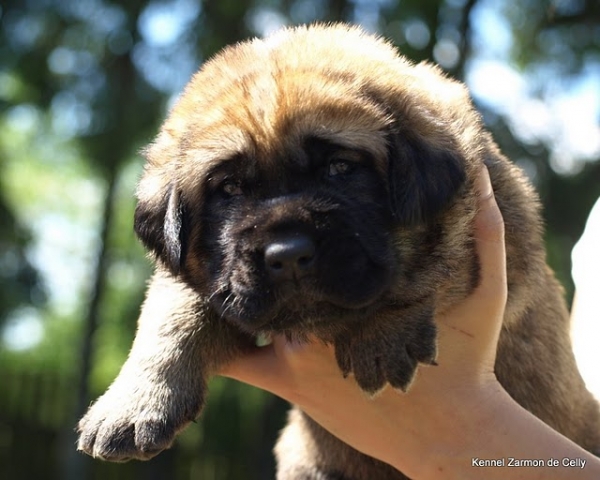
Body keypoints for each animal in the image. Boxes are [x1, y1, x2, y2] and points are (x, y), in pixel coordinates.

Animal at [78, 24, 600, 478]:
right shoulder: (205, 279)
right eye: (228, 188)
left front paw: (381, 335)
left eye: (340, 167)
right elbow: (172, 311)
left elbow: (434, 263)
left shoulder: (497, 223)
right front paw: (134, 403)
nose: (287, 254)